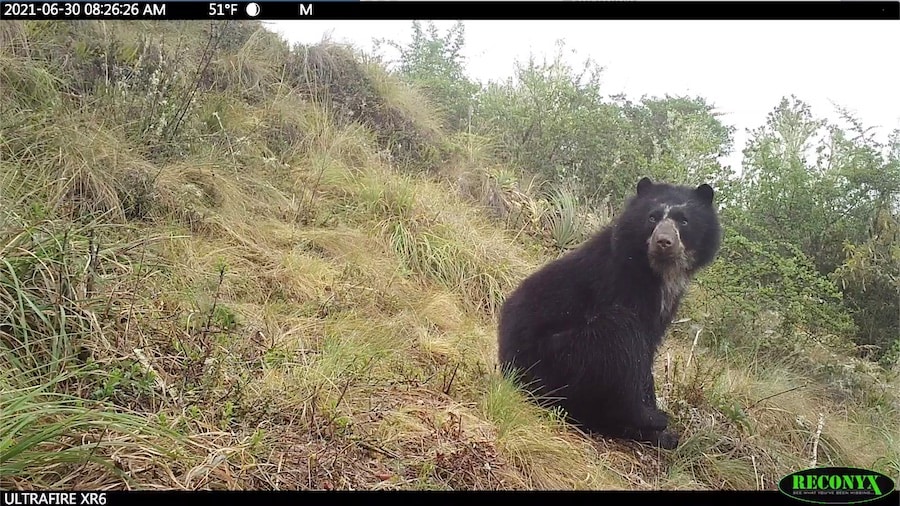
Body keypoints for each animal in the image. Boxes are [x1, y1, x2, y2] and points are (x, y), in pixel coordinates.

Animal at [497, 176, 722, 450]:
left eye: (684, 220)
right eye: (652, 217)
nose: (663, 242)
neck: (658, 273)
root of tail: (508, 369)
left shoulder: (665, 305)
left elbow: (650, 345)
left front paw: (662, 433)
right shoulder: (621, 284)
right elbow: (639, 354)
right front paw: (656, 421)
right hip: (561, 358)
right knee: (621, 332)